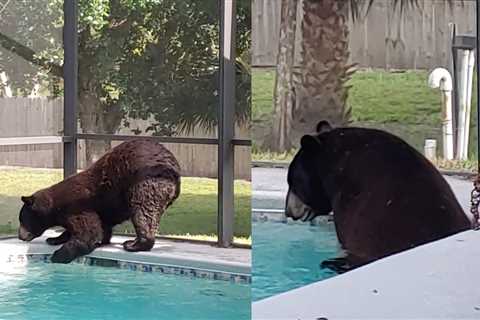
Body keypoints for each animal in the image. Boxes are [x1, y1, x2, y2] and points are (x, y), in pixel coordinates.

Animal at [17, 139, 181, 262]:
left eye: (22, 219)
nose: (20, 236)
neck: (55, 206)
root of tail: (175, 169)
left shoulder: (77, 206)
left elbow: (88, 232)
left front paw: (59, 255)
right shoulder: (99, 211)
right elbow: (100, 228)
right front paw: (54, 238)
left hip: (145, 184)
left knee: (143, 211)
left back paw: (133, 244)